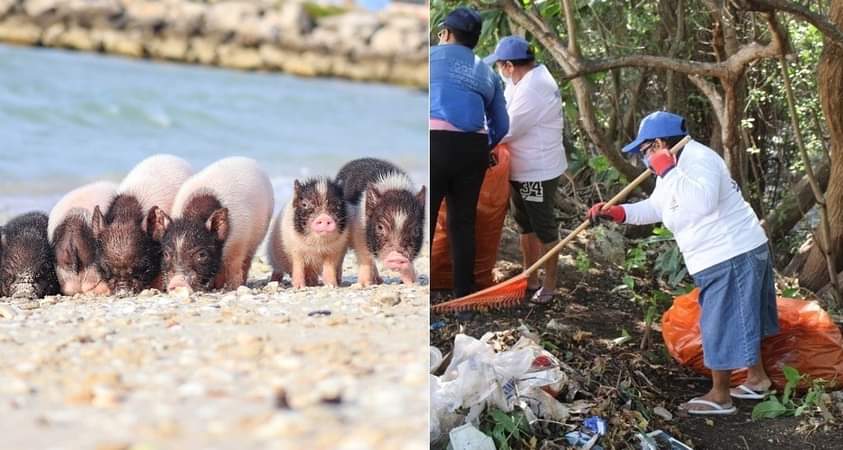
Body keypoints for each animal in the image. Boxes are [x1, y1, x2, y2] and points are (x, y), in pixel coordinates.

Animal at [148, 156, 274, 294]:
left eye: (202, 254)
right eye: (166, 254)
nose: (177, 283)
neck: (194, 217)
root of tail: (248, 159)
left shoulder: (239, 243)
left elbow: (233, 268)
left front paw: (232, 288)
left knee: (246, 261)